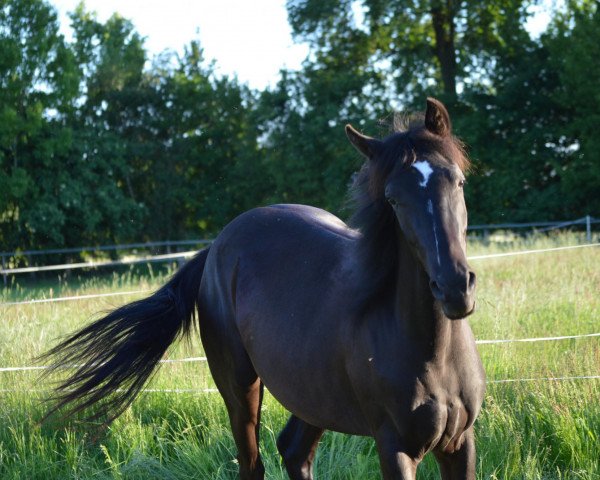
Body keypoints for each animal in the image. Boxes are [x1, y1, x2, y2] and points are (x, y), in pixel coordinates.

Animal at [41, 98, 482, 480]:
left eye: (458, 181)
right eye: (392, 198)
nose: (454, 288)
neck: (431, 353)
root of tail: (216, 245)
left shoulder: (460, 444)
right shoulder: (394, 448)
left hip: (311, 395)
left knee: (294, 452)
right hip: (240, 389)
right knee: (253, 463)